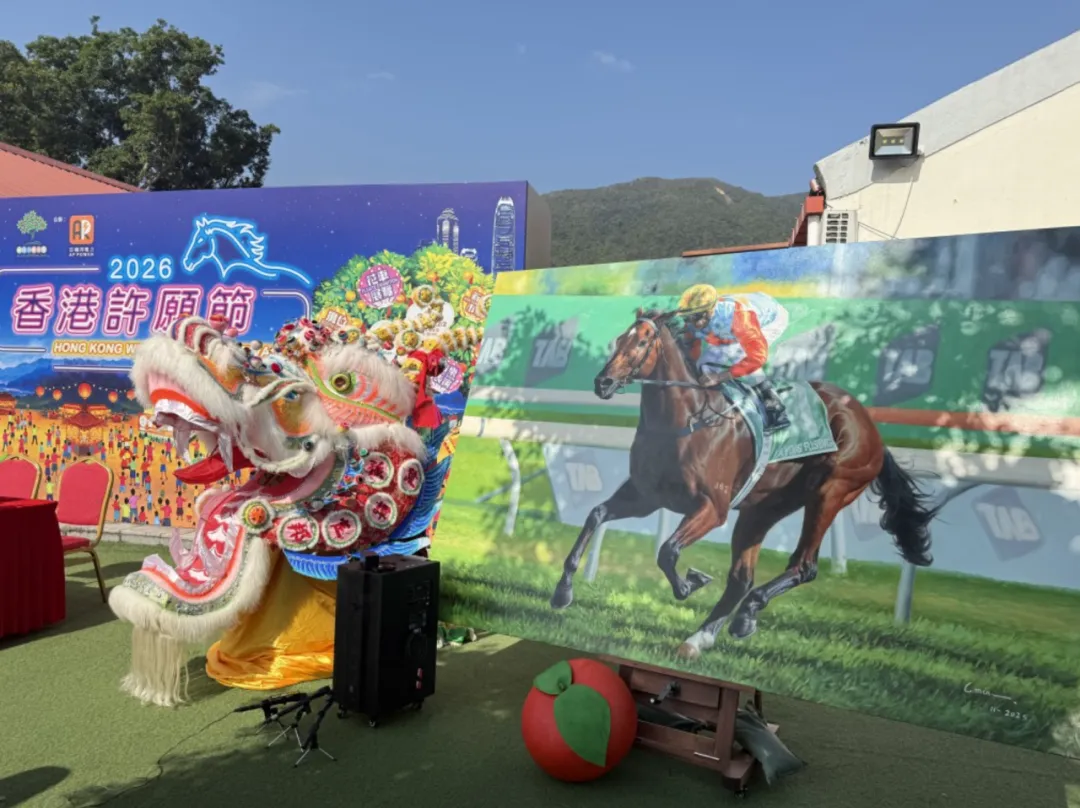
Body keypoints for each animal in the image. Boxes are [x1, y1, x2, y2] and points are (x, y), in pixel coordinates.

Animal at [549, 308, 937, 660]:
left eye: (642, 342)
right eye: (619, 340)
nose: (602, 383)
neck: (687, 419)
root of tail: (870, 425)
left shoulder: (711, 508)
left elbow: (668, 551)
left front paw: (689, 583)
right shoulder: (646, 495)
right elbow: (596, 515)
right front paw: (563, 591)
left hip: (831, 491)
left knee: (803, 565)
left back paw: (745, 615)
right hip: (763, 508)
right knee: (741, 578)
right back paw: (700, 638)